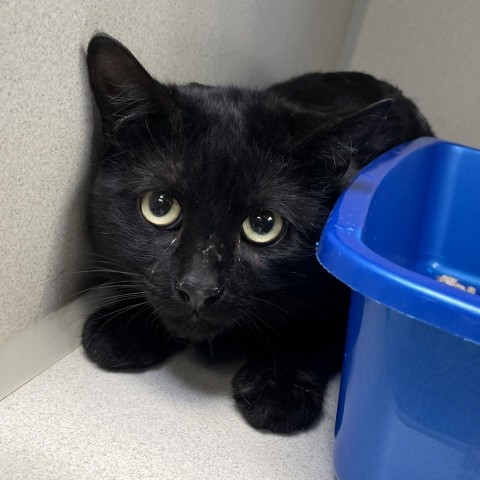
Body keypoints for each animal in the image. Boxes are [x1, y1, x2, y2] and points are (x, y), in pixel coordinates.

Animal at [80, 32, 434, 432]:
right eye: (159, 206)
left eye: (264, 225)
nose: (198, 289)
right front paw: (125, 326)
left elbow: (318, 328)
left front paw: (278, 387)